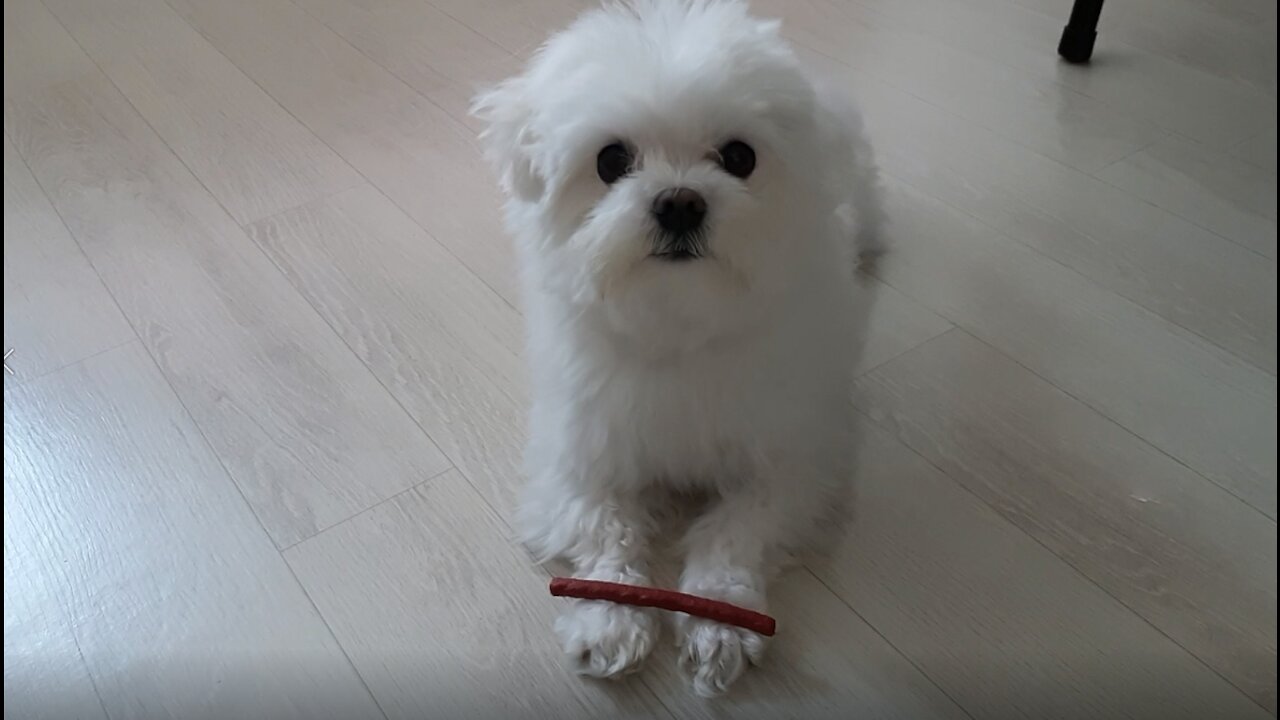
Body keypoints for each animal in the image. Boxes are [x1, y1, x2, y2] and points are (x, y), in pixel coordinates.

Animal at [476, 0, 885, 696]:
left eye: (740, 156)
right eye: (611, 160)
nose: (679, 202)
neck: (681, 319)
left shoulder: (790, 463)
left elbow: (734, 530)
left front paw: (719, 620)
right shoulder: (581, 455)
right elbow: (603, 526)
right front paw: (610, 617)